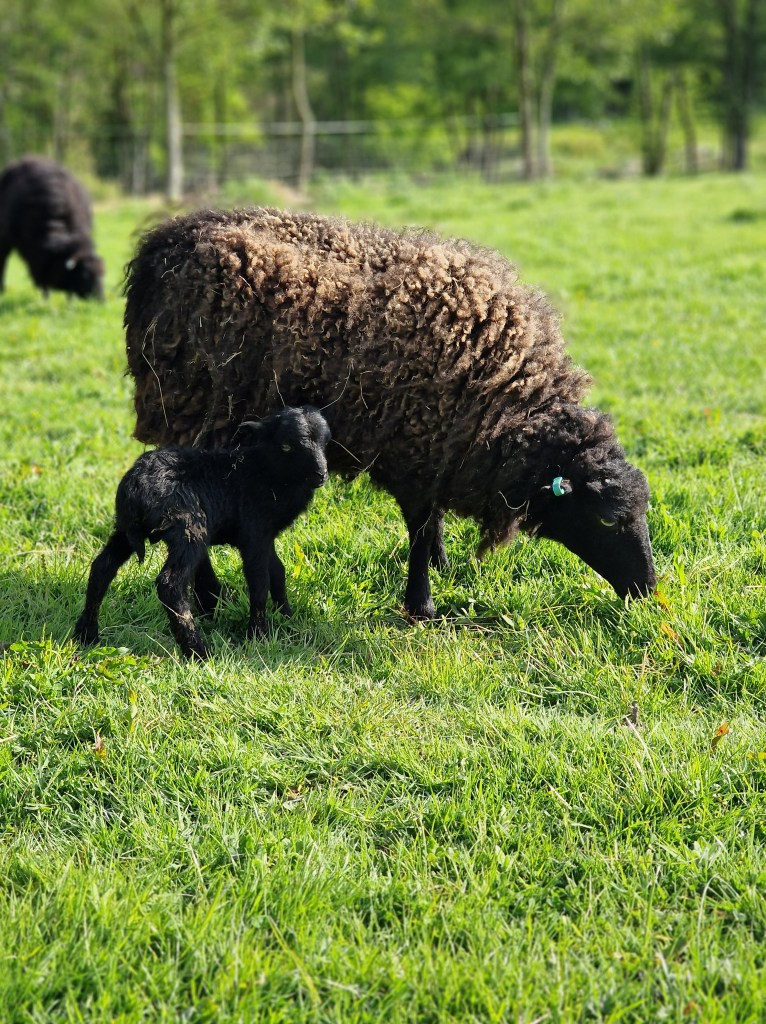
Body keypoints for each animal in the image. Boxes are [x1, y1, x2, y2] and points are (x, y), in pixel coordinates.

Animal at [0, 156, 104, 299]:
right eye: (85, 276)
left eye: (102, 274)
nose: (100, 300)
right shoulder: (36, 254)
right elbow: (41, 277)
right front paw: (45, 299)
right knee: (3, 260)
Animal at [73, 405, 331, 659]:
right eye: (286, 445)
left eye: (325, 442)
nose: (321, 475)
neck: (261, 471)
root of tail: (135, 485)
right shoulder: (254, 533)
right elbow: (259, 582)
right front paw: (259, 635)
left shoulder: (266, 535)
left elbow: (278, 571)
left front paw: (286, 617)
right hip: (189, 530)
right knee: (170, 585)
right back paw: (198, 651)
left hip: (125, 530)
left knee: (102, 568)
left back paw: (86, 635)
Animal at [124, 207, 657, 620]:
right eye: (608, 521)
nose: (649, 589)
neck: (509, 404)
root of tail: (163, 242)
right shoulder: (415, 449)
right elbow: (419, 529)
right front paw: (422, 604)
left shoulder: (438, 446)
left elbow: (431, 524)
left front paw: (442, 566)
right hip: (191, 408)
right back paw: (209, 597)